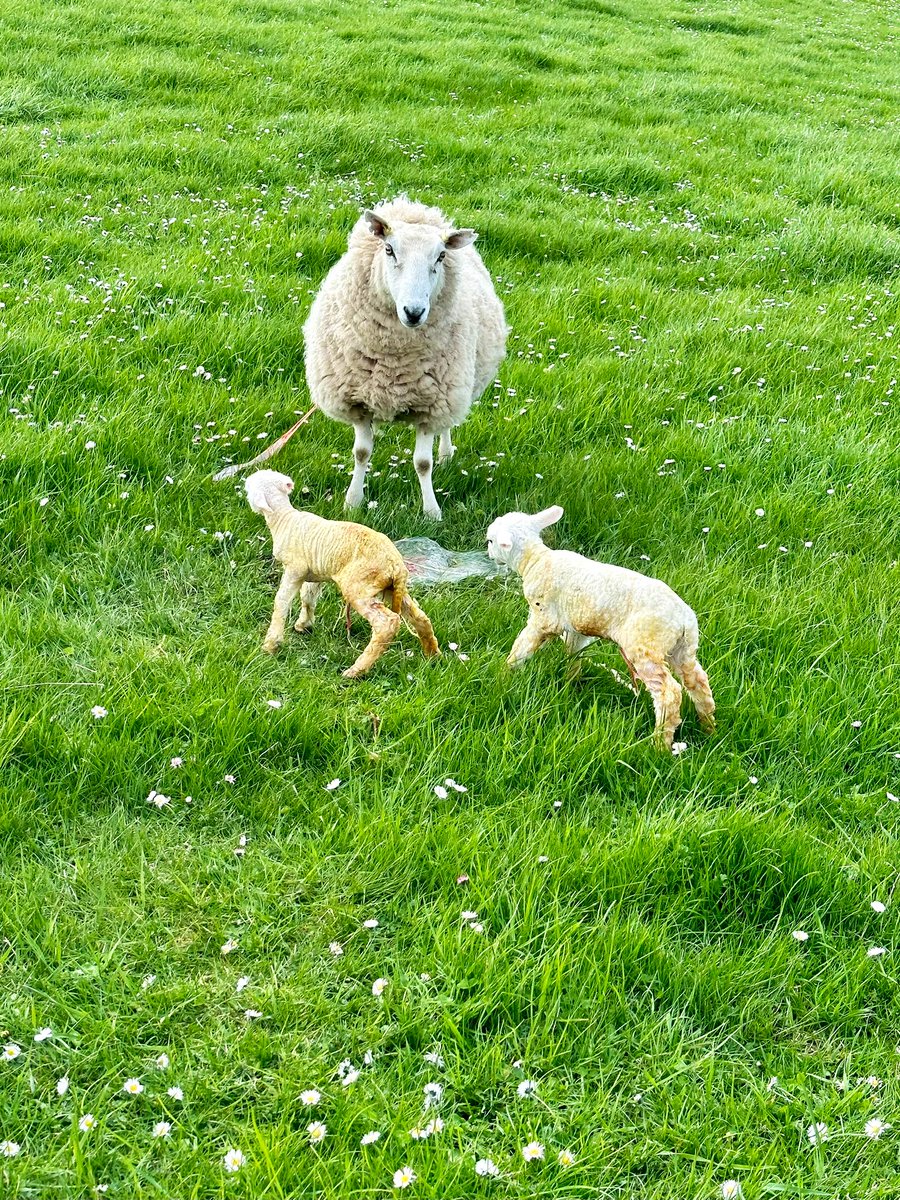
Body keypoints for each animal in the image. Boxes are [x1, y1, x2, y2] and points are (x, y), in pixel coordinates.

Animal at [244, 465, 441, 676]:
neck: (284, 518)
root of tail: (396, 565)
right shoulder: (314, 571)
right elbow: (308, 597)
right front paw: (304, 625)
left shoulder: (295, 568)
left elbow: (281, 602)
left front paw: (271, 645)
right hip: (391, 588)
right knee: (419, 616)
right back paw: (433, 654)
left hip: (359, 586)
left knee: (386, 623)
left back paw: (356, 671)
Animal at [307, 194, 511, 518]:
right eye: (389, 250)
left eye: (440, 257)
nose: (413, 312)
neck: (395, 358)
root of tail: (415, 208)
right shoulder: (357, 401)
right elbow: (361, 453)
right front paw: (353, 502)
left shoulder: (432, 405)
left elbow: (423, 463)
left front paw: (431, 512)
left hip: (453, 389)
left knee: (446, 428)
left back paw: (446, 454)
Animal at [489, 506, 715, 748]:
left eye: (490, 541)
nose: (489, 553)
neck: (535, 559)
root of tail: (684, 618)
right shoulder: (576, 627)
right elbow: (574, 654)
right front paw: (571, 683)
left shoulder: (543, 617)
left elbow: (522, 646)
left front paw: (506, 673)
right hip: (683, 648)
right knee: (697, 681)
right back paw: (708, 727)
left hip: (645, 645)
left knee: (669, 693)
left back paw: (659, 744)